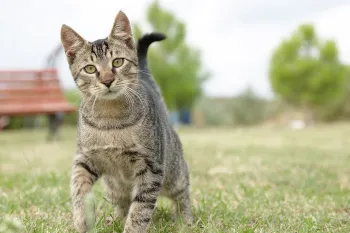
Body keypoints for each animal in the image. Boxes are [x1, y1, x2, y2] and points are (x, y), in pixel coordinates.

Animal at [60, 10, 194, 233]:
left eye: (117, 62)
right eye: (90, 69)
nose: (107, 80)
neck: (110, 119)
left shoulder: (151, 168)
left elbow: (140, 210)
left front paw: (133, 228)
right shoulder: (84, 159)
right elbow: (78, 188)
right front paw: (82, 219)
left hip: (174, 175)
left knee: (183, 194)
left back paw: (186, 220)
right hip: (113, 187)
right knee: (122, 205)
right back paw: (114, 219)